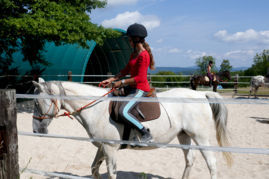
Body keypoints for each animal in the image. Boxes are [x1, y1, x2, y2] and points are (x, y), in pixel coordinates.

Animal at [32, 78, 231, 179]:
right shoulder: (103, 147)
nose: (35, 130)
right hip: (184, 135)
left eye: (36, 102)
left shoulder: (110, 148)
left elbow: (111, 173)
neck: (97, 108)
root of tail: (201, 95)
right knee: (190, 160)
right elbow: (94, 169)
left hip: (200, 137)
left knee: (211, 164)